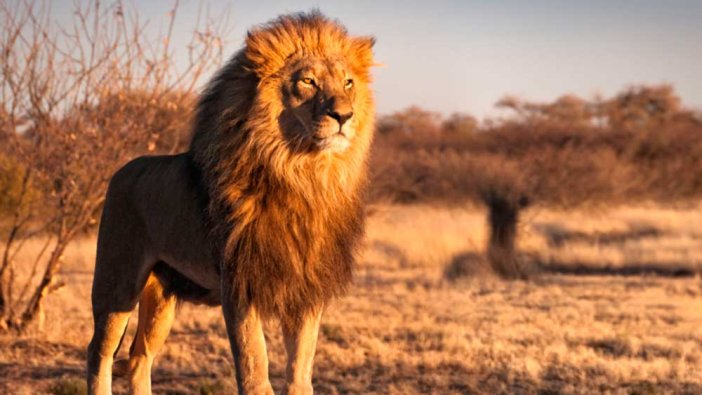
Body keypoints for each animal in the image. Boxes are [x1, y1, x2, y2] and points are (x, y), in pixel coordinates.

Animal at [86, 12, 380, 395]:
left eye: (348, 83)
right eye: (308, 81)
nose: (344, 116)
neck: (303, 176)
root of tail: (122, 169)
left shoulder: (306, 289)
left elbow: (300, 371)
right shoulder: (240, 286)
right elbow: (255, 366)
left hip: (162, 296)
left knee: (139, 358)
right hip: (116, 283)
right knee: (99, 353)